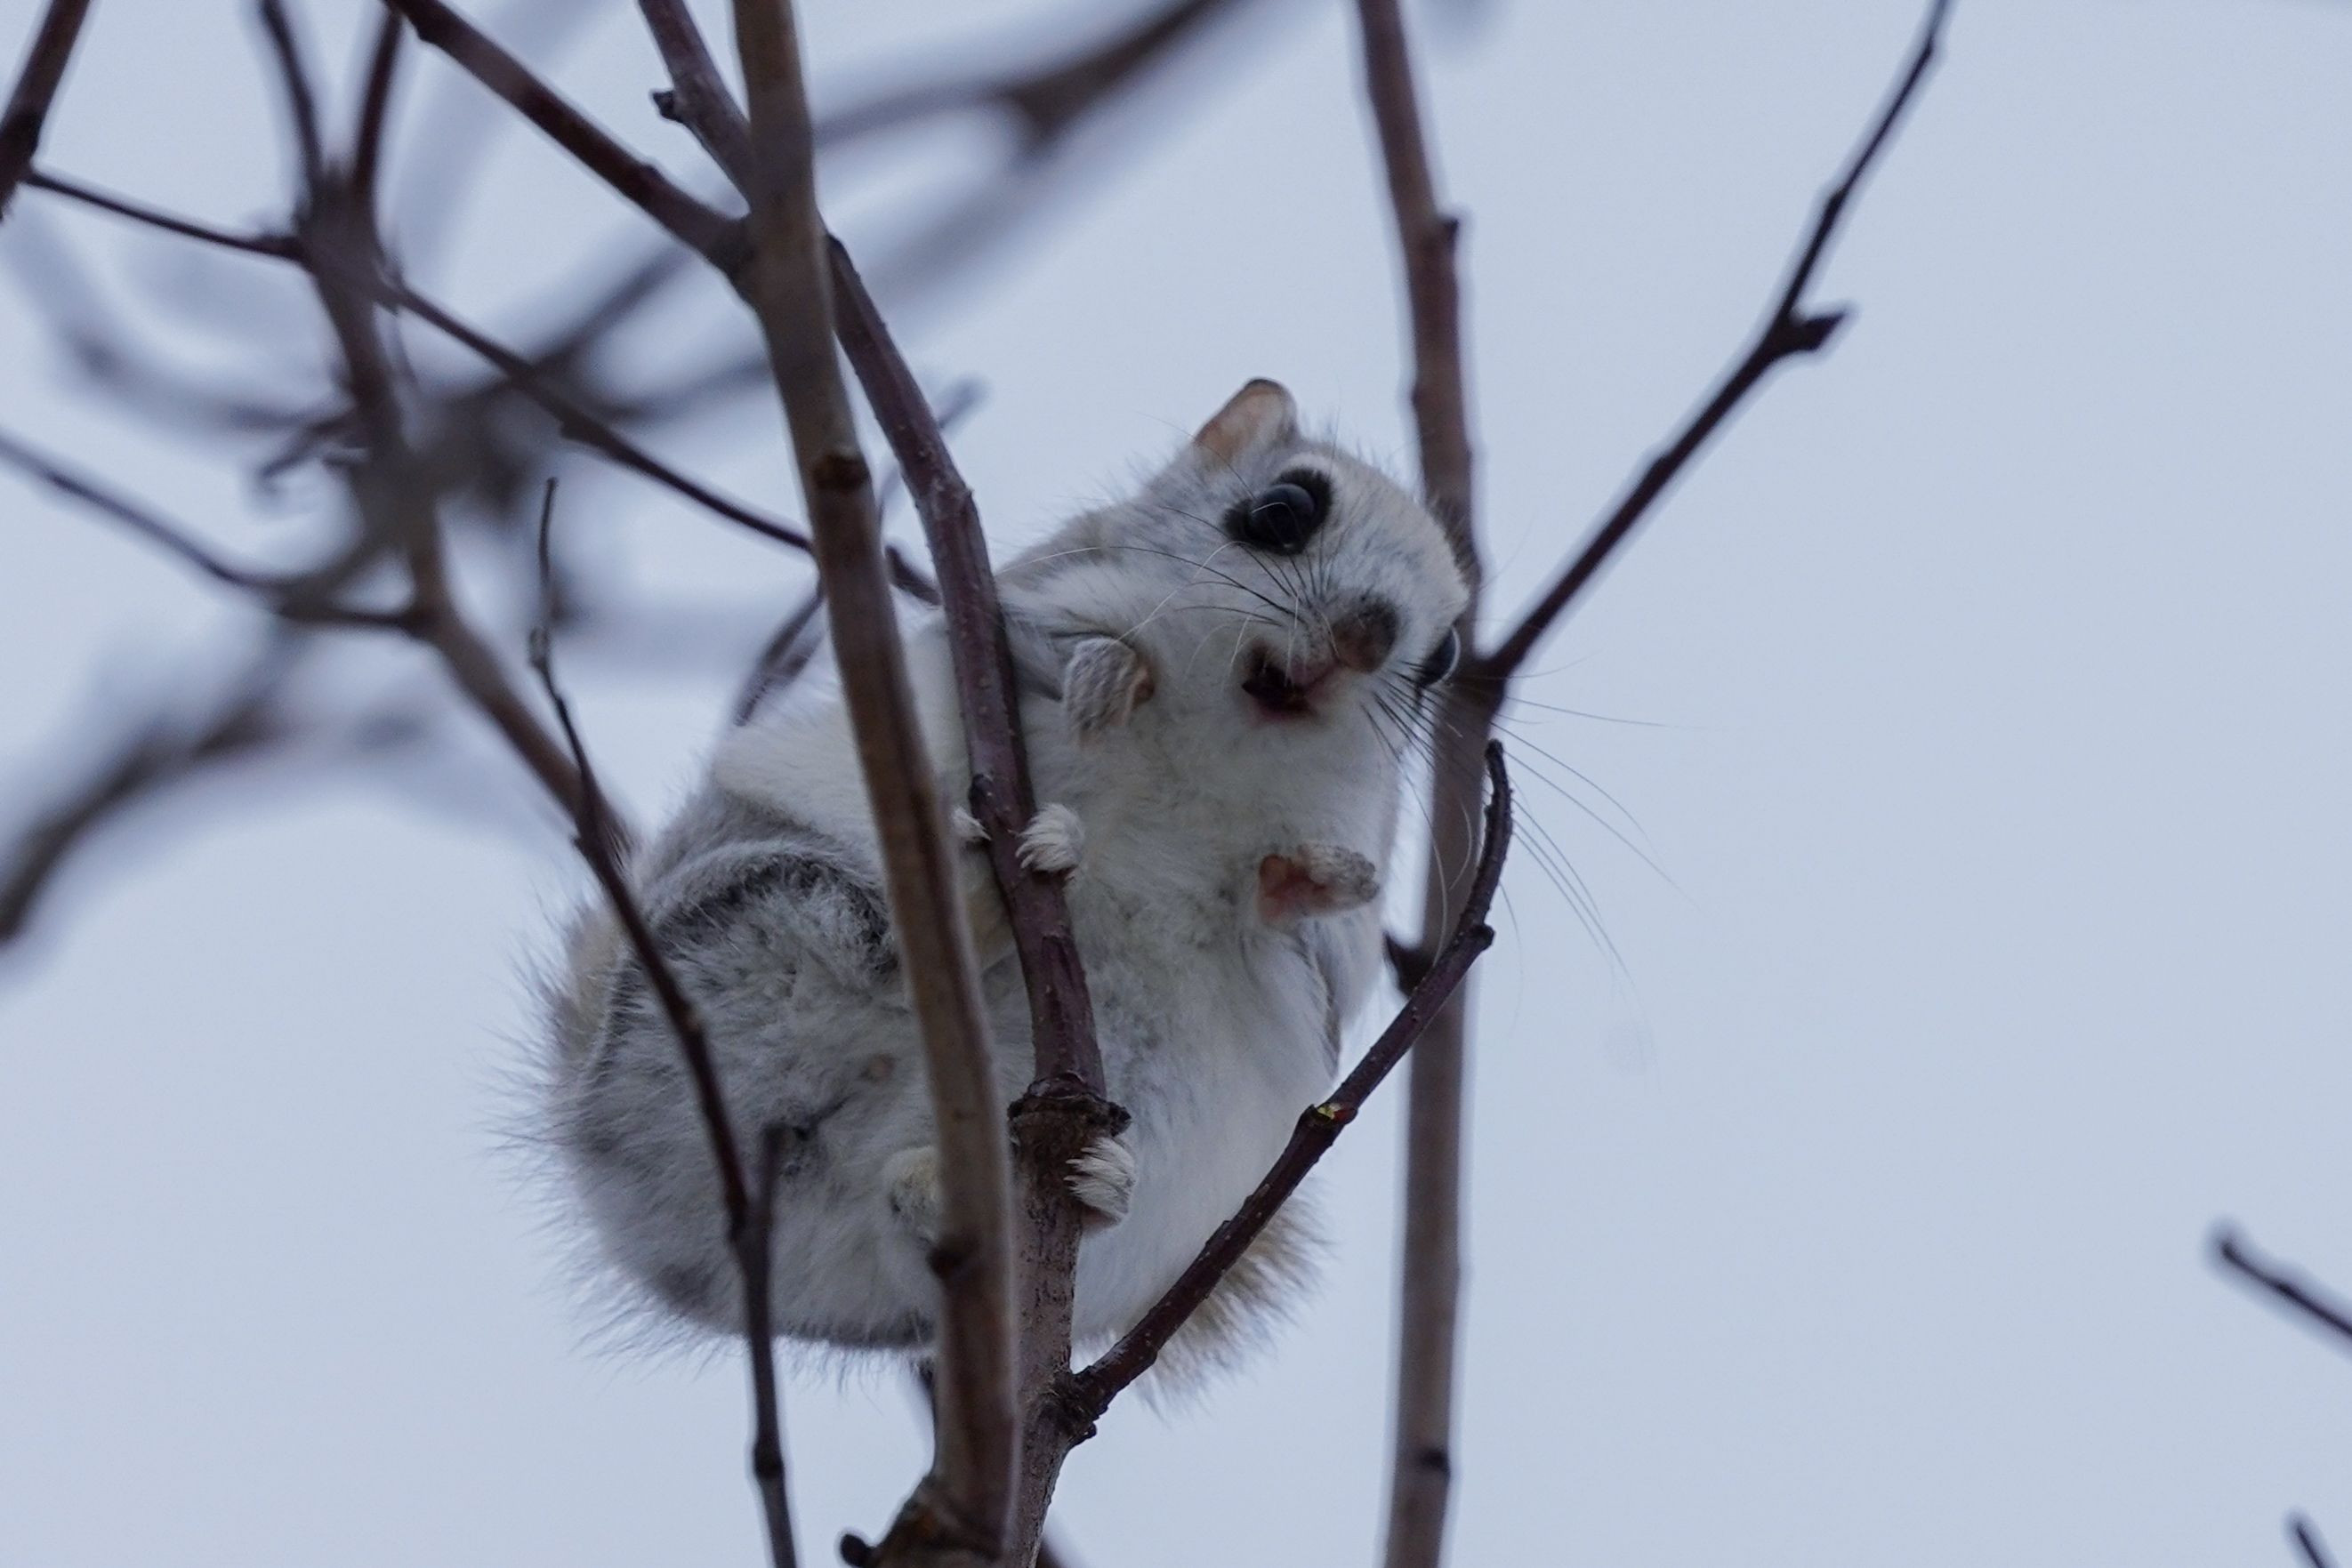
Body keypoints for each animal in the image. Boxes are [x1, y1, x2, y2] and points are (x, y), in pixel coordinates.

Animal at [539, 379, 1470, 1376]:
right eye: (1282, 510)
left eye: (1443, 659)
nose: (1367, 635)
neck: (1212, 748)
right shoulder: (1007, 619)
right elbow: (1069, 651)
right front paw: (1112, 674)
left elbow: (1296, 902)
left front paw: (1319, 876)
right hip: (758, 916)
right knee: (873, 959)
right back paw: (981, 892)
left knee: (909, 1204)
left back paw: (1068, 1183)